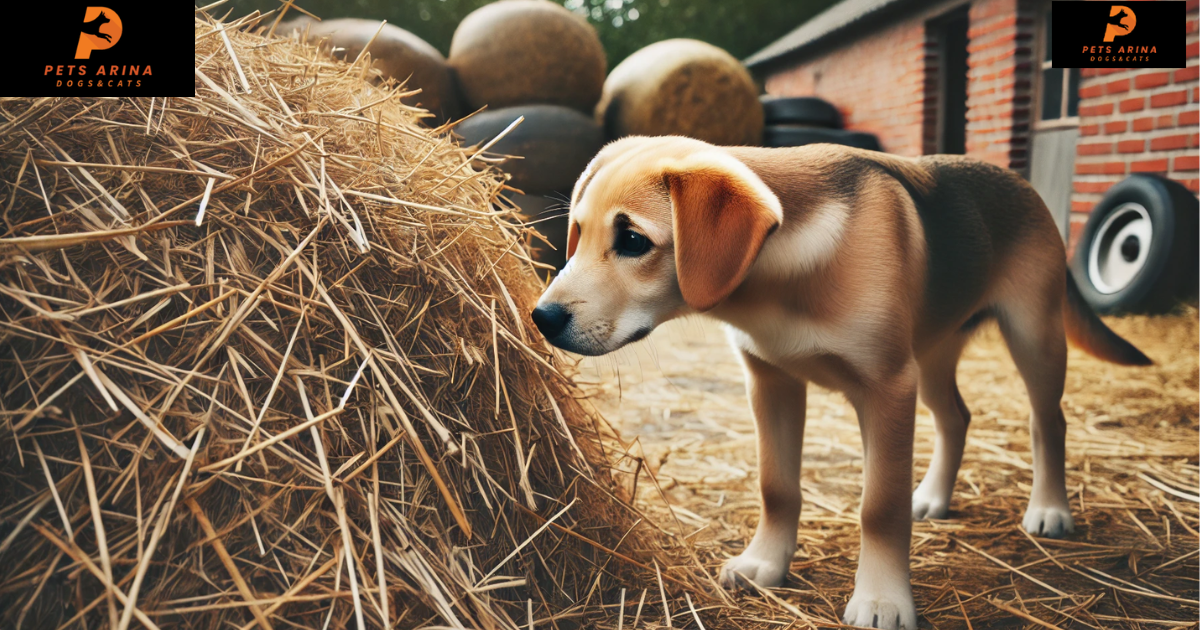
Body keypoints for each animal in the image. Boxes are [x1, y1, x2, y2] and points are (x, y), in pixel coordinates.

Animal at [535, 137, 1152, 628]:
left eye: (634, 241)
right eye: (579, 234)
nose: (542, 318)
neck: (782, 274)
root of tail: (1021, 183)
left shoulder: (887, 387)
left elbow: (879, 506)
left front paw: (881, 600)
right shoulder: (771, 383)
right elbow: (777, 487)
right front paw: (765, 563)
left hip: (1032, 336)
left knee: (1049, 420)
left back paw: (1049, 508)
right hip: (932, 353)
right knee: (956, 417)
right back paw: (933, 496)